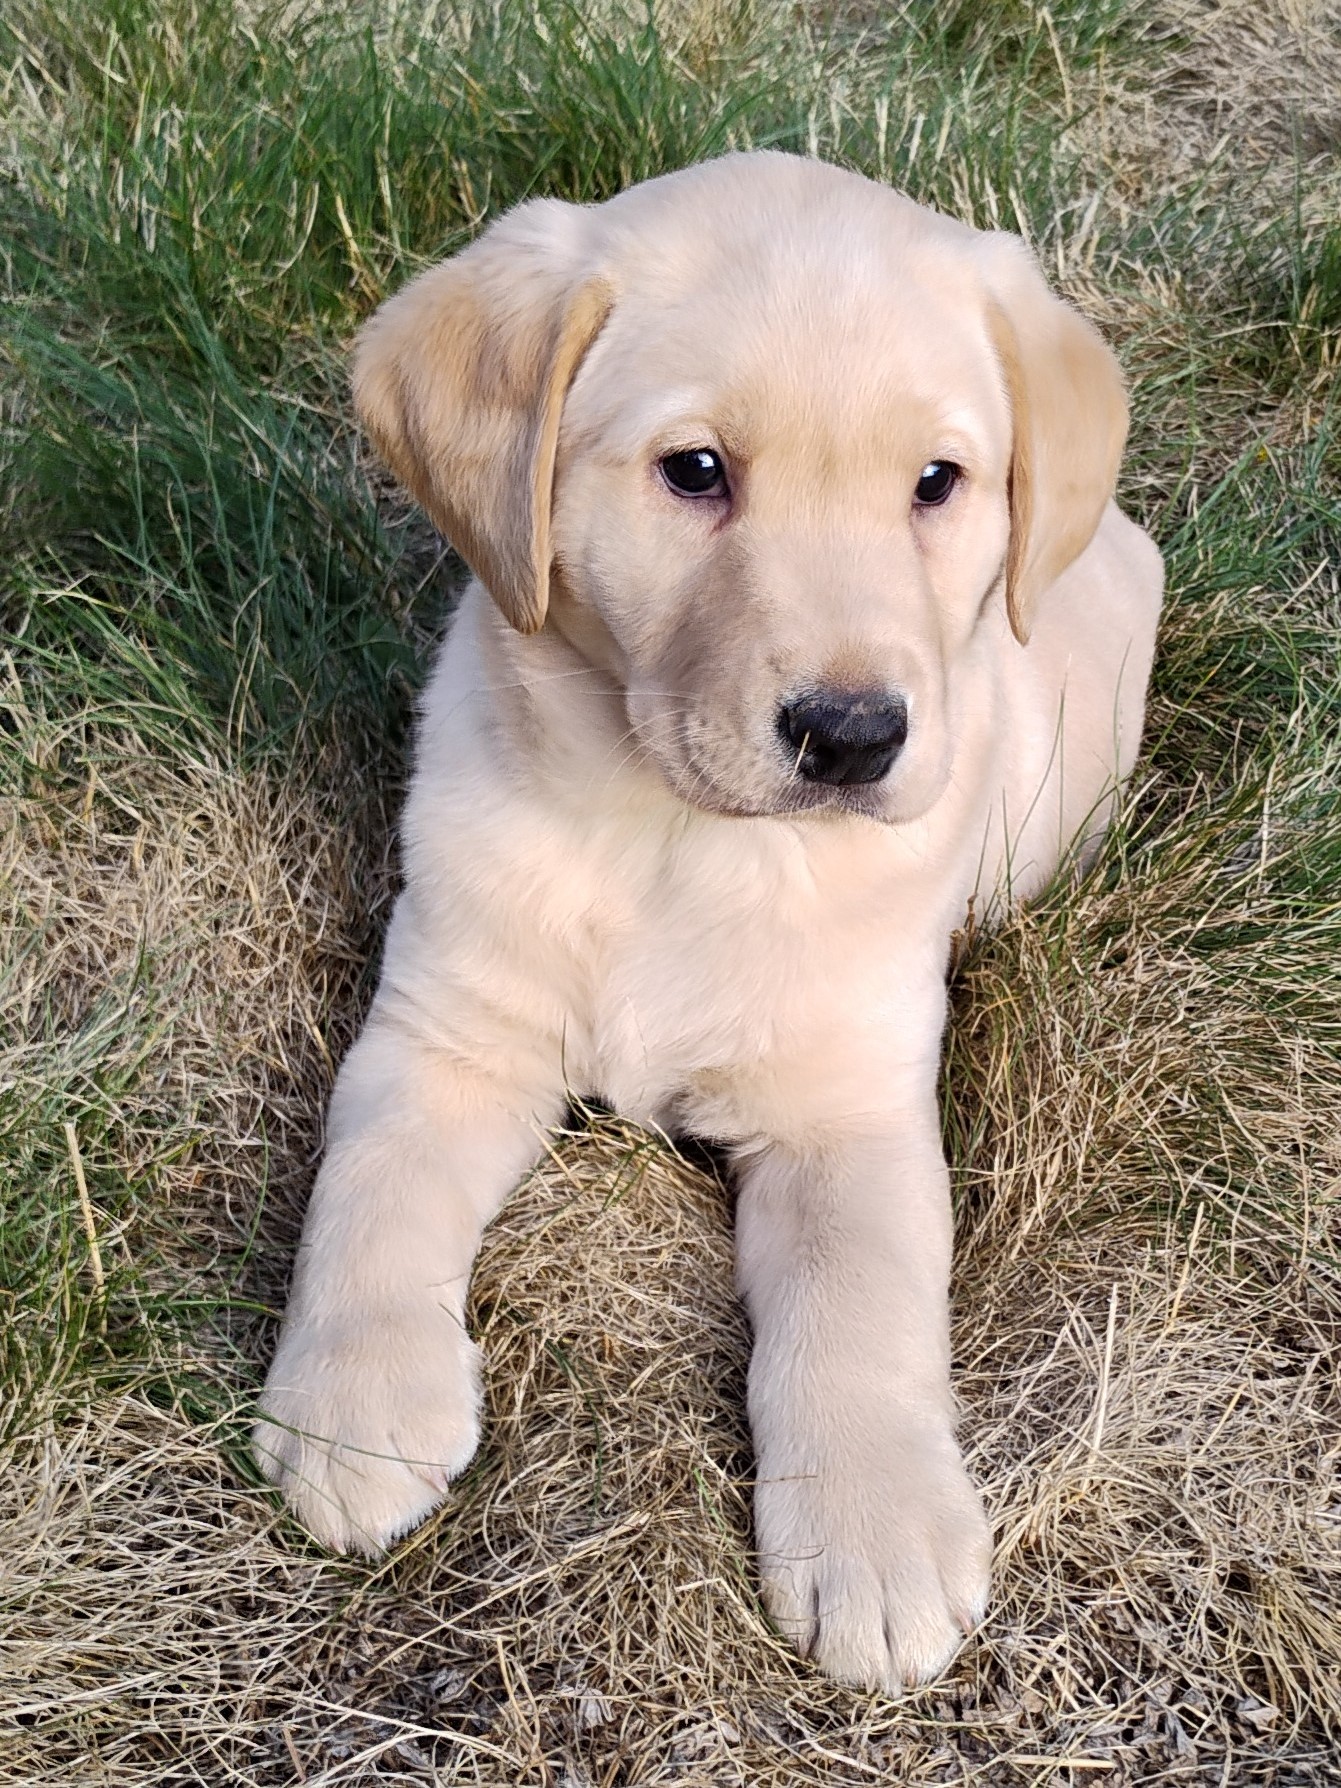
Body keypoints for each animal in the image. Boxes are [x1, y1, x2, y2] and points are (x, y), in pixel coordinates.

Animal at [253, 150, 1165, 1687]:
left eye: (938, 483)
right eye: (694, 471)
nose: (854, 736)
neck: (682, 848)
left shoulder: (847, 1109)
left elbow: (859, 1307)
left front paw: (874, 1531)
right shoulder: (445, 1030)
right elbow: (366, 1192)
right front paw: (355, 1407)